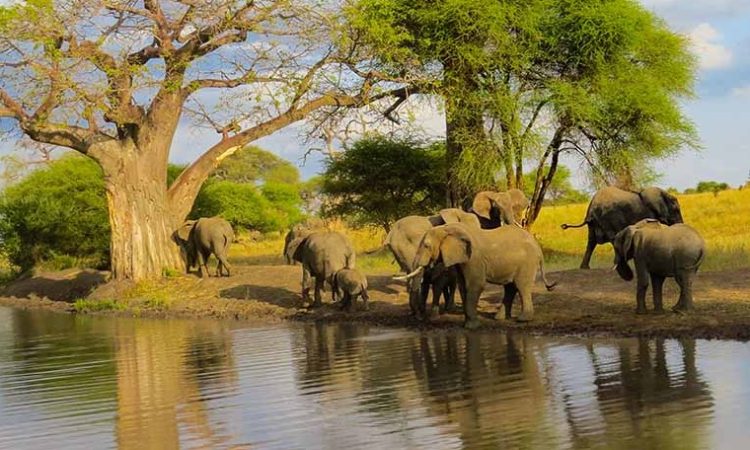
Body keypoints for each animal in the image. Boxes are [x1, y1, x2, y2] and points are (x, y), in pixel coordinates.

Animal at [398, 223, 556, 329]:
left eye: (426, 246)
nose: (419, 319)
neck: (447, 228)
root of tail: (537, 246)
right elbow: (463, 287)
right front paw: (468, 323)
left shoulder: (474, 259)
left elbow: (475, 285)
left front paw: (471, 326)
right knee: (510, 287)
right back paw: (499, 318)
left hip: (527, 263)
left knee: (521, 286)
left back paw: (523, 320)